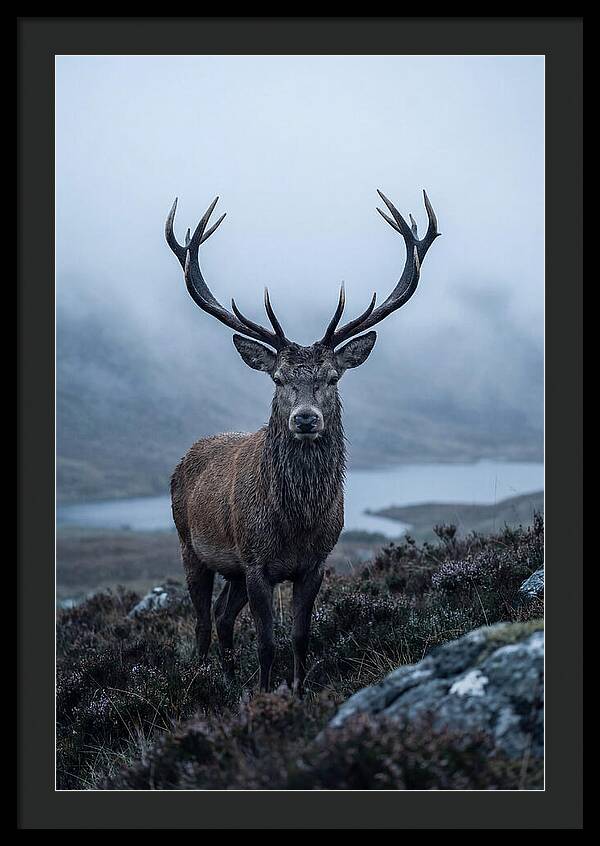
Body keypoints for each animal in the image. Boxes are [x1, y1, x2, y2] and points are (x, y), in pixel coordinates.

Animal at [166, 189, 439, 695]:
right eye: (278, 379)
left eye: (332, 377)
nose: (306, 419)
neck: (295, 523)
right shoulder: (256, 562)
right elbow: (266, 642)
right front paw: (264, 693)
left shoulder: (313, 563)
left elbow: (299, 636)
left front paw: (296, 690)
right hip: (190, 546)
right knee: (201, 621)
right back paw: (203, 678)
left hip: (231, 568)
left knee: (222, 616)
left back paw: (229, 679)